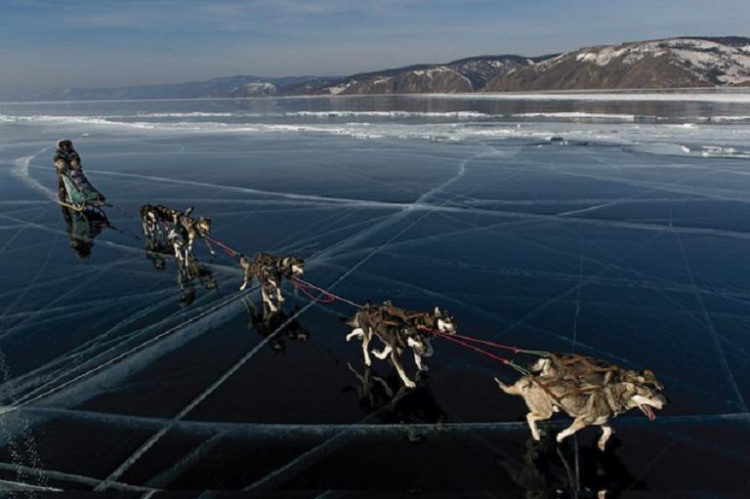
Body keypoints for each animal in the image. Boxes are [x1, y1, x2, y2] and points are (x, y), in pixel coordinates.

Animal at [496, 376, 668, 454]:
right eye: (650, 396)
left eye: (657, 392)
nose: (667, 403)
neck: (615, 396)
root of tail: (531, 379)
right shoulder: (582, 420)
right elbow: (570, 431)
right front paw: (560, 437)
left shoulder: (601, 421)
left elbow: (609, 431)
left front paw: (601, 444)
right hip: (546, 412)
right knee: (529, 416)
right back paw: (536, 435)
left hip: (547, 410)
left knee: (533, 416)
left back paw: (539, 430)